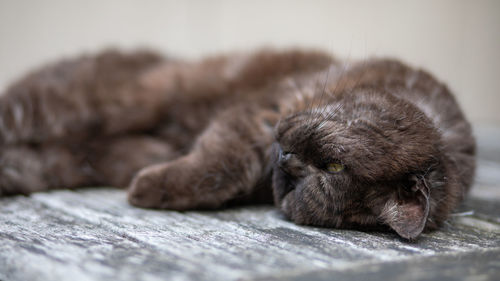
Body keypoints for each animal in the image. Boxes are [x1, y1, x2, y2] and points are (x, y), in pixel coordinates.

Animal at [0, 47, 474, 238]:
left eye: (319, 178)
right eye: (336, 165)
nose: (286, 161)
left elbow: (223, 169)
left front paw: (150, 185)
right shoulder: (265, 109)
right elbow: (225, 160)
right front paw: (149, 188)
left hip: (63, 160)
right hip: (60, 106)